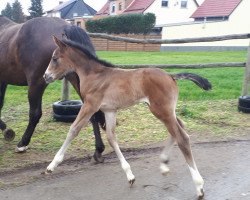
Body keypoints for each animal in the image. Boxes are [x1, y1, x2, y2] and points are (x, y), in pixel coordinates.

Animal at [43, 36, 211, 198]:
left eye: (55, 58)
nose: (46, 76)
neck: (95, 75)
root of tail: (171, 75)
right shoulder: (109, 110)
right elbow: (111, 137)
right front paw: (130, 175)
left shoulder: (90, 105)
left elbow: (74, 129)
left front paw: (52, 166)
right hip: (166, 111)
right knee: (179, 127)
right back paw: (164, 164)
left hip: (161, 110)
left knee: (182, 137)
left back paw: (199, 186)